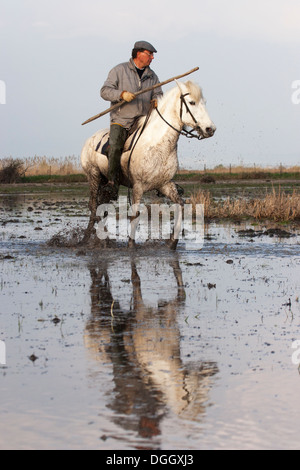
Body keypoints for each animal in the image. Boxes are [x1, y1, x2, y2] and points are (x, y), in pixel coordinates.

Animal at [80, 81, 216, 250]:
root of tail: (89, 140)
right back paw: (99, 240)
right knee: (94, 206)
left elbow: (181, 205)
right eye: (192, 102)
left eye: (204, 102)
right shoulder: (138, 187)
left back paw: (92, 239)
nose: (210, 129)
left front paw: (172, 241)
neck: (157, 143)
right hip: (93, 176)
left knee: (99, 207)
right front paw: (131, 244)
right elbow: (135, 215)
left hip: (104, 182)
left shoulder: (165, 184)